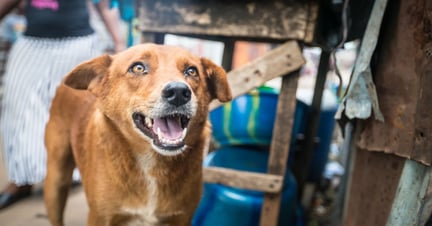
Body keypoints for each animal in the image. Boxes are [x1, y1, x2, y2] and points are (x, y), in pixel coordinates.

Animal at [43, 43, 231, 225]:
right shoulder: (101, 217)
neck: (152, 163)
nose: (178, 92)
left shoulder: (182, 218)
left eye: (191, 71)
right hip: (56, 182)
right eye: (138, 68)